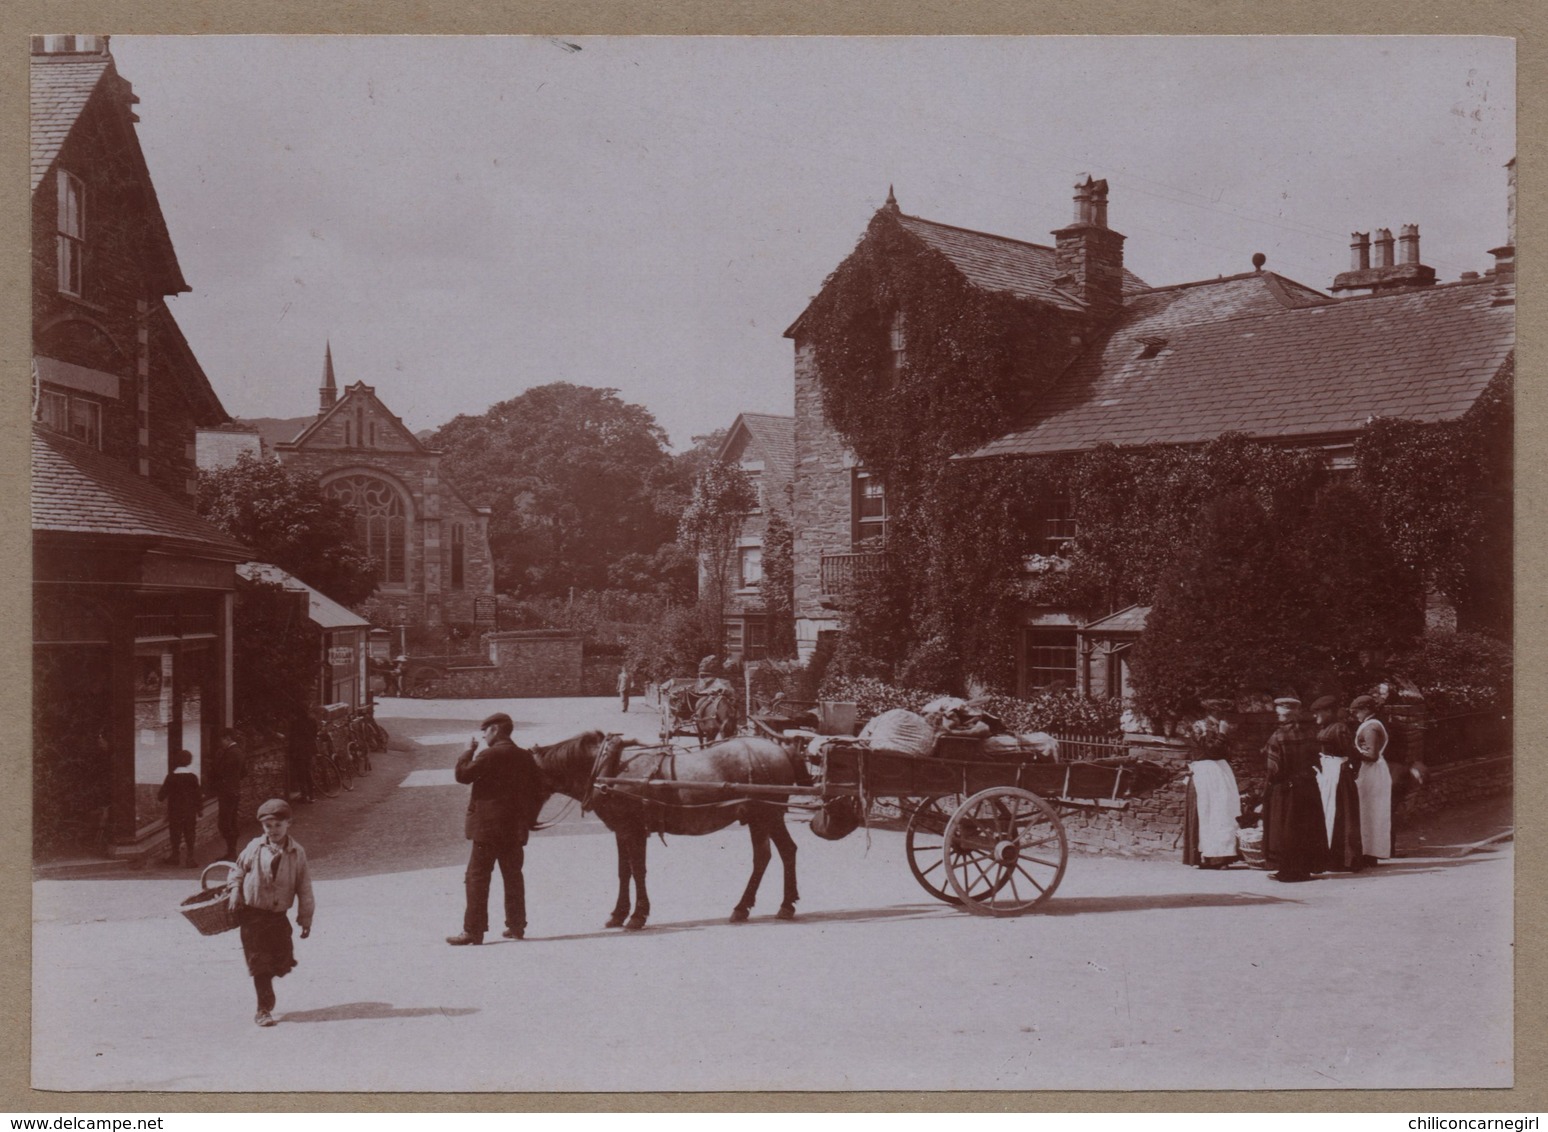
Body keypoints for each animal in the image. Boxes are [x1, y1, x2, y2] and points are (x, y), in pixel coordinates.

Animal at [532, 730, 804, 935]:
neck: (607, 768)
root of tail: (782, 751)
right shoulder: (621, 830)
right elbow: (624, 872)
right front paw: (618, 914)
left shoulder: (635, 830)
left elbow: (638, 871)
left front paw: (638, 915)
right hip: (759, 818)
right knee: (768, 855)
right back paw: (747, 907)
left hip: (768, 814)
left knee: (783, 852)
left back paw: (783, 905)